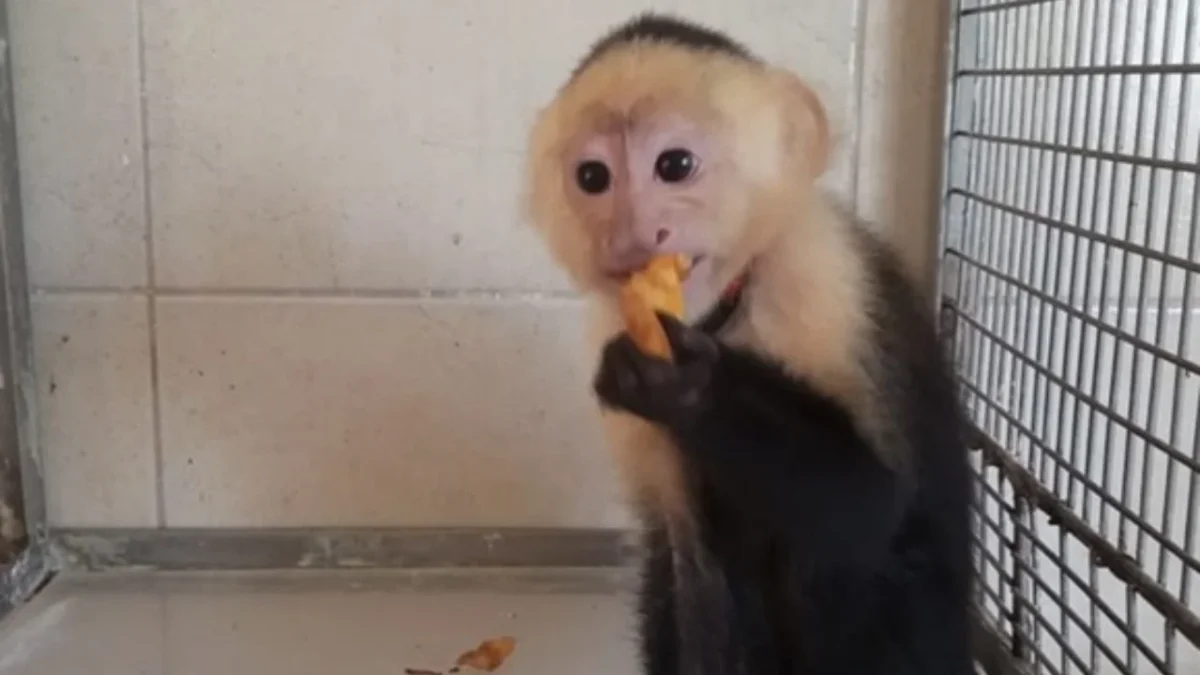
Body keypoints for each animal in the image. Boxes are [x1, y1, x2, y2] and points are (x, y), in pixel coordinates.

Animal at [522, 12, 975, 675]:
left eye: (675, 164)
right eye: (592, 178)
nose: (635, 233)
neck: (718, 311)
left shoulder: (820, 280)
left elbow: (871, 504)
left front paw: (686, 387)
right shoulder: (611, 325)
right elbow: (686, 559)